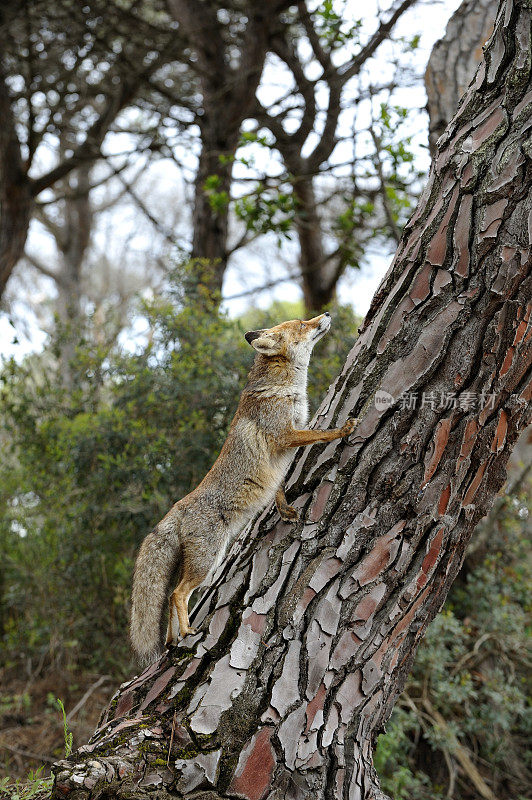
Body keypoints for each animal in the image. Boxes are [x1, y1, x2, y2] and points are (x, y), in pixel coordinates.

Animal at [131, 312, 360, 664]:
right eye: (302, 324)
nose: (326, 315)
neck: (283, 388)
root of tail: (176, 507)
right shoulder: (285, 435)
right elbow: (321, 433)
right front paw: (343, 430)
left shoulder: (281, 455)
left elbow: (279, 486)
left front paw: (285, 510)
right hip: (208, 560)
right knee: (178, 594)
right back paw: (187, 632)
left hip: (201, 564)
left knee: (170, 597)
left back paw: (172, 639)